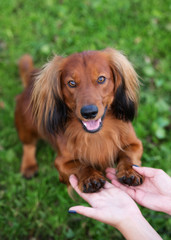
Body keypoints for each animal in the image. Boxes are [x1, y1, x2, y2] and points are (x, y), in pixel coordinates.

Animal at [14, 48, 143, 193]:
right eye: (71, 83)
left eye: (101, 79)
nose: (89, 112)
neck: (96, 134)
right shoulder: (62, 162)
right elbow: (82, 165)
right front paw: (90, 177)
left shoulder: (135, 144)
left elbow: (128, 156)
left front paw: (130, 172)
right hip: (26, 125)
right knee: (29, 145)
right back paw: (29, 166)